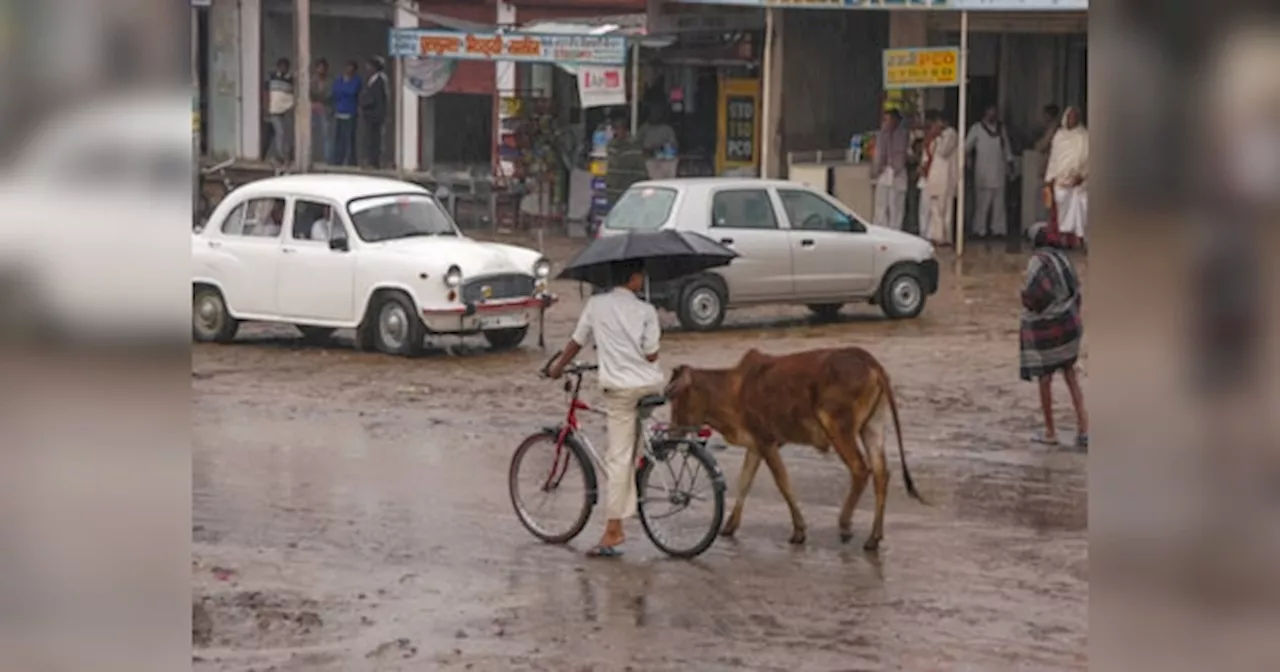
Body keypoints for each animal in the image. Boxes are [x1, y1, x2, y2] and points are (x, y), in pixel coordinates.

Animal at [665, 348, 926, 547]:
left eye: (676, 397)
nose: (672, 431)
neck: (732, 389)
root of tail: (867, 359)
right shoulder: (756, 445)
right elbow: (745, 482)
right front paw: (729, 527)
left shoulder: (766, 442)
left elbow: (783, 483)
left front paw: (799, 530)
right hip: (872, 426)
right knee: (881, 474)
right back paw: (874, 537)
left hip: (837, 426)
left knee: (860, 469)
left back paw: (845, 524)